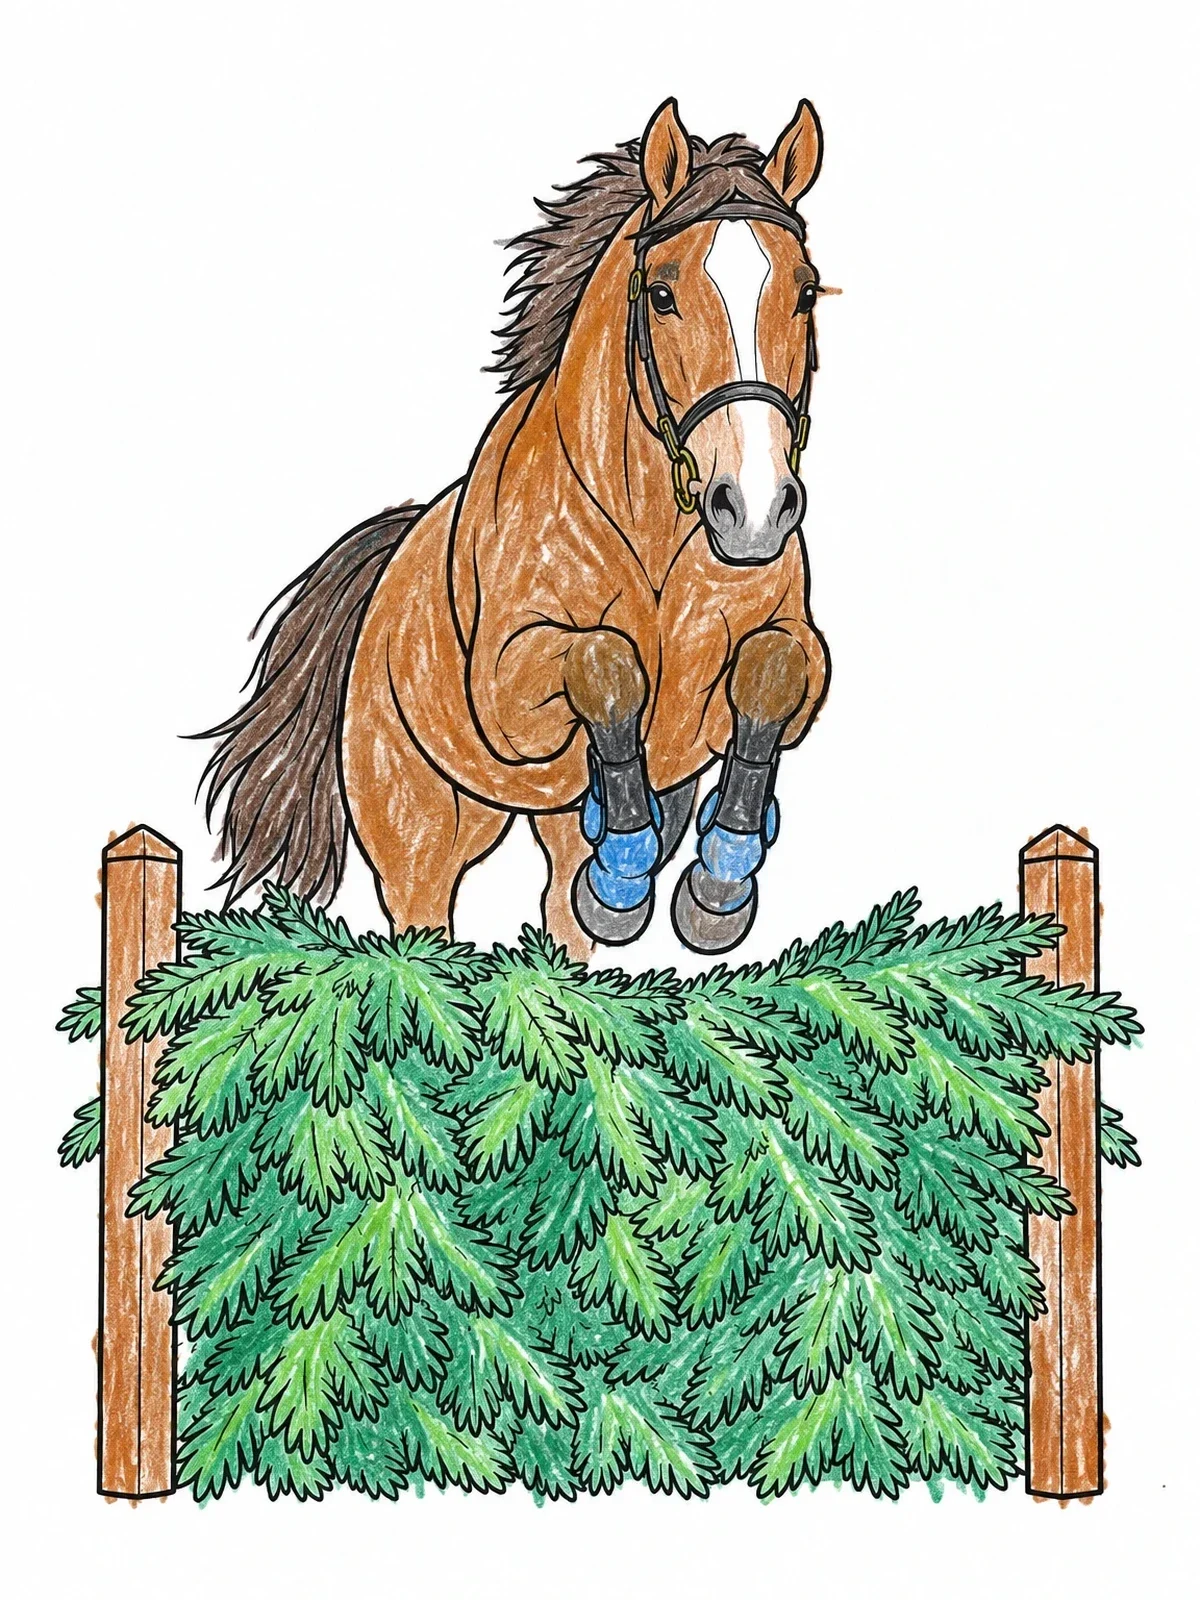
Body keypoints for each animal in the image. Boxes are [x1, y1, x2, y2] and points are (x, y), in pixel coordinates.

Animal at [201, 98, 833, 962]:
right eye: (662, 295)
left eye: (805, 292)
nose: (757, 509)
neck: (656, 527)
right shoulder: (509, 692)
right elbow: (607, 661)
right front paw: (641, 863)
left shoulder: (779, 656)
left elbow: (774, 669)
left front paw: (718, 885)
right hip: (422, 834)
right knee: (424, 919)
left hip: (548, 827)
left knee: (568, 903)